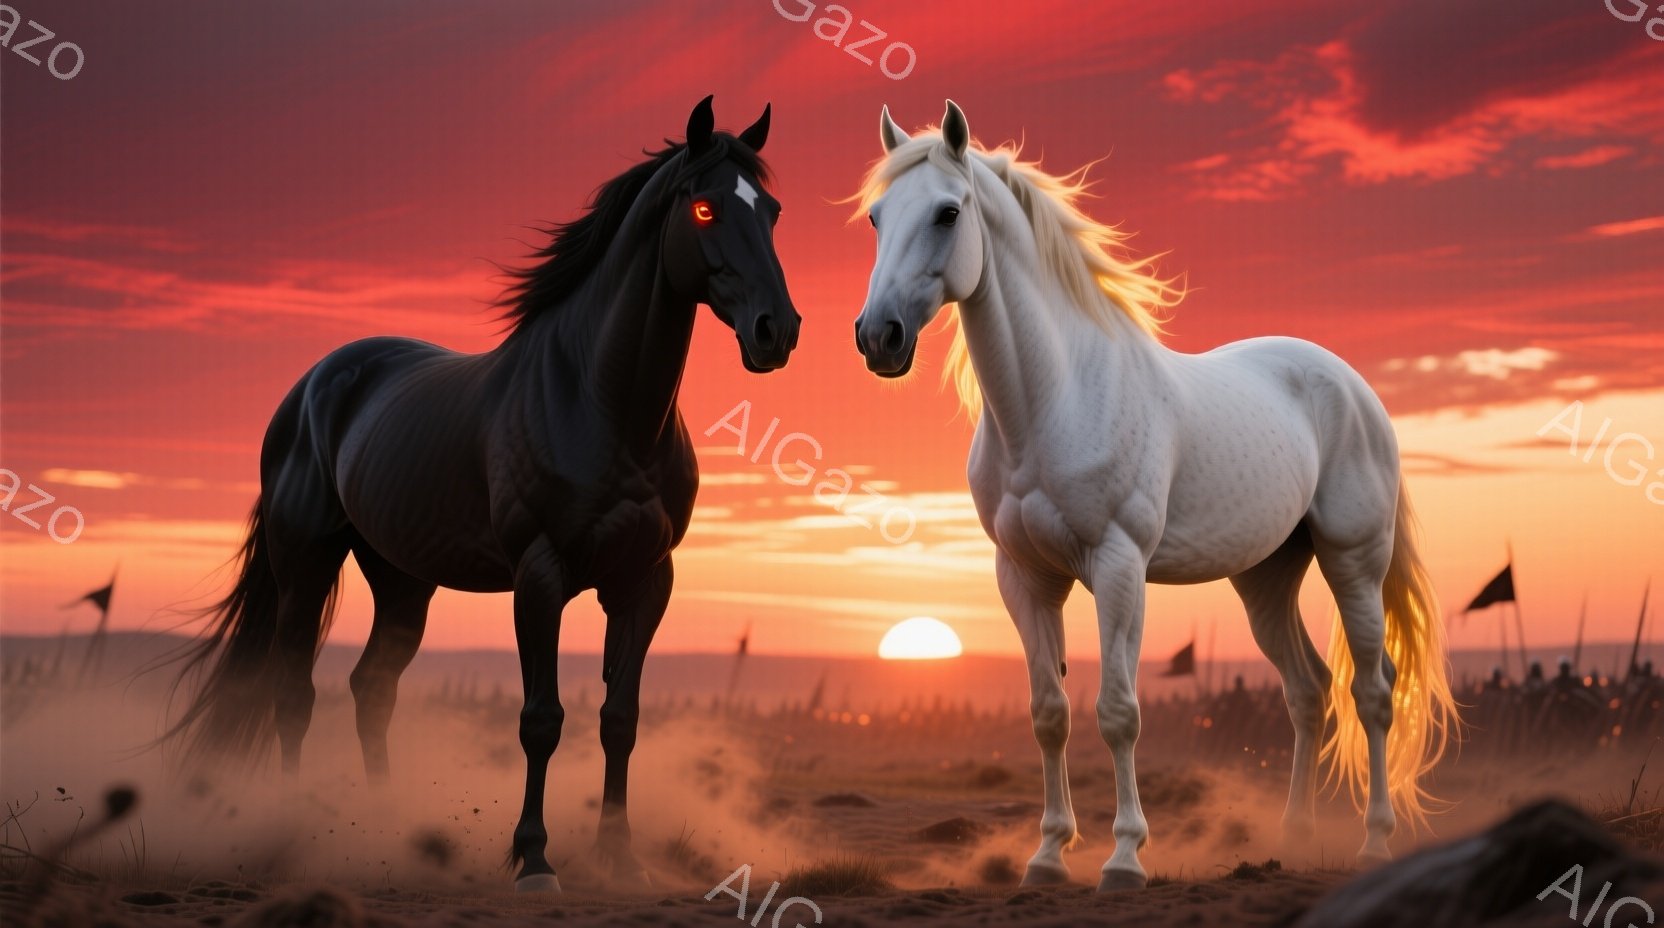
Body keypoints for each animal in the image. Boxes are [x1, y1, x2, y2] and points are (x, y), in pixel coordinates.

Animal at [164, 96, 799, 893]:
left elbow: (619, 718)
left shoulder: (645, 582)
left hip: (402, 580)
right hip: (305, 566)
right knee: (294, 694)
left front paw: (620, 859)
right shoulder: (540, 575)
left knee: (373, 689)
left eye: (772, 210)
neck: (600, 403)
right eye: (707, 208)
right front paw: (534, 860)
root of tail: (315, 382)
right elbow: (541, 719)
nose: (777, 331)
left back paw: (382, 827)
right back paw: (289, 830)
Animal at [850, 101, 1455, 891]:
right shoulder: (1025, 577)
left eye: (948, 212)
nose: (877, 338)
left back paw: (1375, 843)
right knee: (1308, 691)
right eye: (877, 217)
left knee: (1373, 693)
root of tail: (1351, 385)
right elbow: (1048, 713)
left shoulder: (1117, 566)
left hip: (1354, 561)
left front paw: (1125, 857)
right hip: (1265, 579)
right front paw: (1048, 855)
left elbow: (1118, 711)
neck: (1054, 401)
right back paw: (1294, 835)